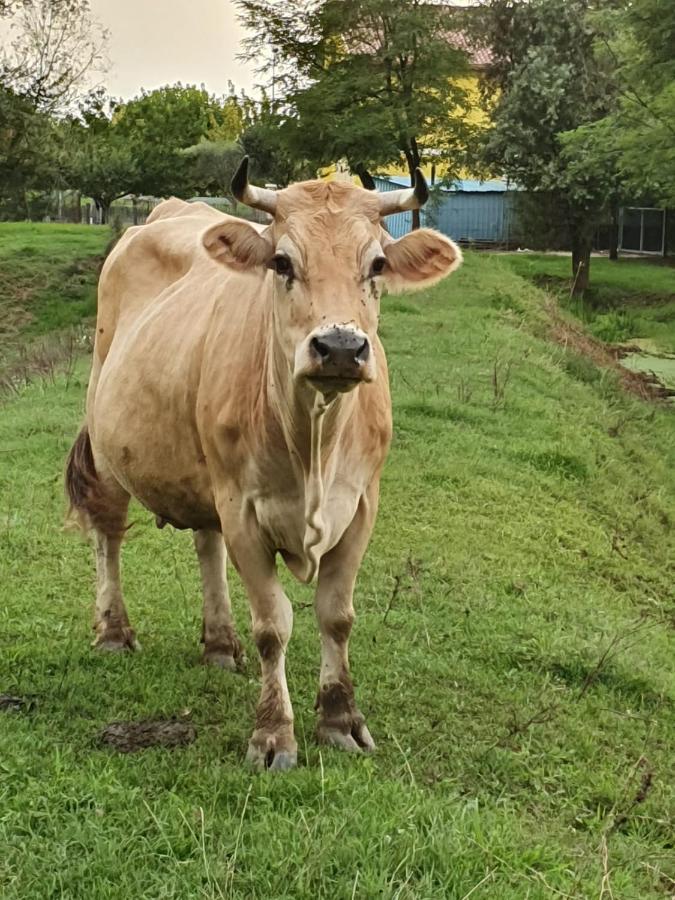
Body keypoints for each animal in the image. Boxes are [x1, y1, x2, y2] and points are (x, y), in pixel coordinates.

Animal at [66, 158, 462, 768]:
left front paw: (341, 719)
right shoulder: (244, 511)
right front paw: (274, 733)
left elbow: (336, 615)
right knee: (108, 533)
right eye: (282, 261)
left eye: (376, 263)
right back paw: (114, 632)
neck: (313, 442)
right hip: (110, 449)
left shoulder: (361, 507)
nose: (340, 347)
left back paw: (219, 643)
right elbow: (274, 624)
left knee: (205, 543)